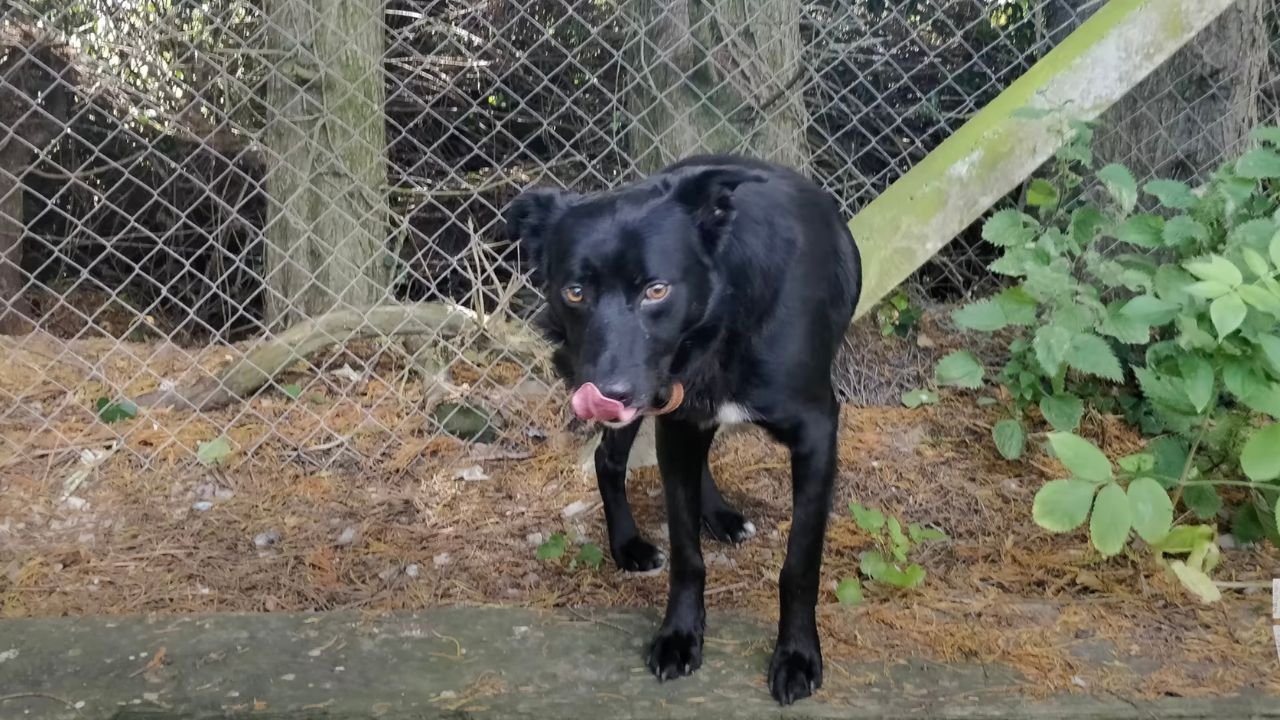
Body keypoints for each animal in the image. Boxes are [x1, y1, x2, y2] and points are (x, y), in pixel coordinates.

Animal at [501, 154, 860, 702]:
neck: (722, 318)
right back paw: (628, 545)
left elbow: (799, 564)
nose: (607, 392)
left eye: (657, 290)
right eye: (575, 291)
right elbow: (686, 554)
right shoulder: (676, 420)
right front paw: (680, 635)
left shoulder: (816, 435)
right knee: (609, 459)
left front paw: (797, 655)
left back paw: (721, 517)